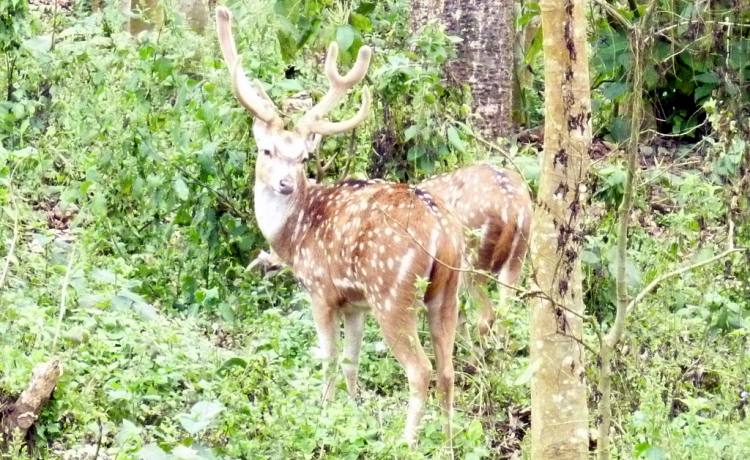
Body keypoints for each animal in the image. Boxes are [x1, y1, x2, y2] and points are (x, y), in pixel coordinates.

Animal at [214, 6, 464, 446]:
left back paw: (406, 441)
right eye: (267, 150)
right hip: (448, 292)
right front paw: (353, 409)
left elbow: (329, 357)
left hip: (393, 292)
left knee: (421, 371)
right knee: (449, 372)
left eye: (302, 157)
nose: (285, 183)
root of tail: (443, 232)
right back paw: (448, 445)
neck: (292, 235)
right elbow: (352, 359)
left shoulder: (321, 290)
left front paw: (324, 410)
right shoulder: (355, 302)